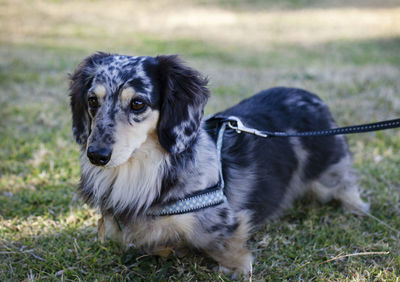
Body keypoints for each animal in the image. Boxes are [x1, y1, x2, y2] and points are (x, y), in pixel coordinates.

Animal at [69, 53, 368, 276]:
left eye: (138, 103)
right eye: (92, 100)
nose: (96, 155)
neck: (145, 169)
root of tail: (312, 97)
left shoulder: (220, 224)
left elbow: (225, 248)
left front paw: (234, 268)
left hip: (329, 169)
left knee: (346, 185)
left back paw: (356, 208)